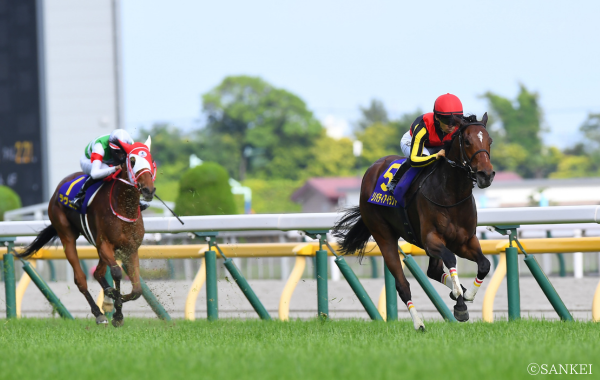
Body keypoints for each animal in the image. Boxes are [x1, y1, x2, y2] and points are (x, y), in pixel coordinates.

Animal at [19, 137, 157, 326]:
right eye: (133, 161)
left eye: (151, 160)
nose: (148, 190)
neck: (123, 208)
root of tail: (58, 189)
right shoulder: (105, 244)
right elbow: (116, 273)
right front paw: (116, 312)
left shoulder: (130, 248)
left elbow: (137, 290)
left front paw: (115, 302)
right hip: (67, 235)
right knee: (80, 278)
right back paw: (99, 313)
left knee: (98, 273)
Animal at [332, 114, 492, 332]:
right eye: (467, 141)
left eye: (489, 141)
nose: (486, 174)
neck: (451, 194)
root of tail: (373, 169)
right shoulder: (431, 240)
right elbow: (451, 261)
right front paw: (460, 301)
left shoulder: (465, 240)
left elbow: (484, 264)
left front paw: (465, 295)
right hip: (383, 235)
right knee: (402, 285)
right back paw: (419, 323)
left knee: (433, 271)